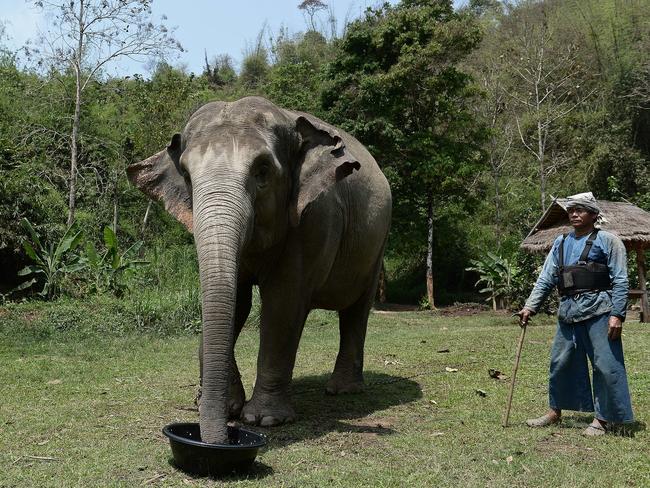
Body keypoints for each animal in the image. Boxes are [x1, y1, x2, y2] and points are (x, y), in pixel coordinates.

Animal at [126, 95, 390, 442]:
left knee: (357, 310)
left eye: (262, 171)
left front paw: (263, 419)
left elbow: (283, 303)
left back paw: (342, 390)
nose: (217, 438)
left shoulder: (314, 218)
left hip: (378, 244)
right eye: (185, 174)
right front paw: (228, 407)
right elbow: (235, 303)